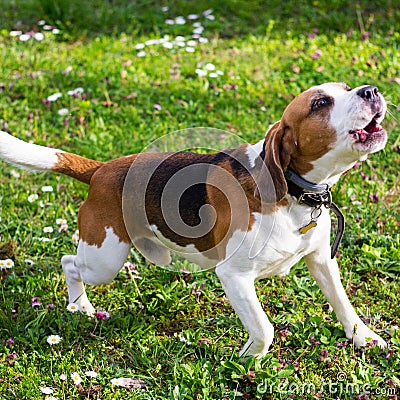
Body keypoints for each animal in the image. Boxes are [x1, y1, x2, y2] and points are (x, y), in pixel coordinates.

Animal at [0, 83, 388, 358]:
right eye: (320, 103)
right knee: (69, 262)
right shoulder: (234, 275)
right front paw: (247, 359)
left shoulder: (322, 260)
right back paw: (80, 306)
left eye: (347, 87)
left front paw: (365, 339)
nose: (371, 90)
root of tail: (102, 170)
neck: (295, 195)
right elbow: (264, 329)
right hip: (103, 259)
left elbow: (345, 306)